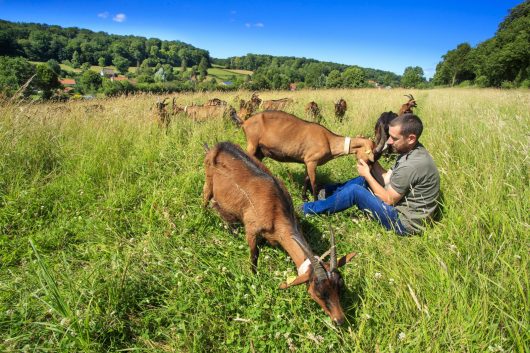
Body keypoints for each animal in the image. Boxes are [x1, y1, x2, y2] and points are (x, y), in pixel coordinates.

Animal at [202, 142, 354, 324]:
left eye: (340, 286)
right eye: (317, 292)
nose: (340, 320)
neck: (276, 210)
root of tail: (217, 145)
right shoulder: (252, 229)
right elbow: (254, 256)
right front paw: (254, 277)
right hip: (208, 180)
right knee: (206, 199)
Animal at [233, 110, 374, 199]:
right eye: (370, 154)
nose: (370, 169)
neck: (328, 140)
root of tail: (244, 123)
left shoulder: (307, 161)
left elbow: (306, 179)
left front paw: (304, 197)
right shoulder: (312, 161)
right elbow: (314, 183)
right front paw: (314, 202)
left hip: (260, 151)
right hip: (252, 144)